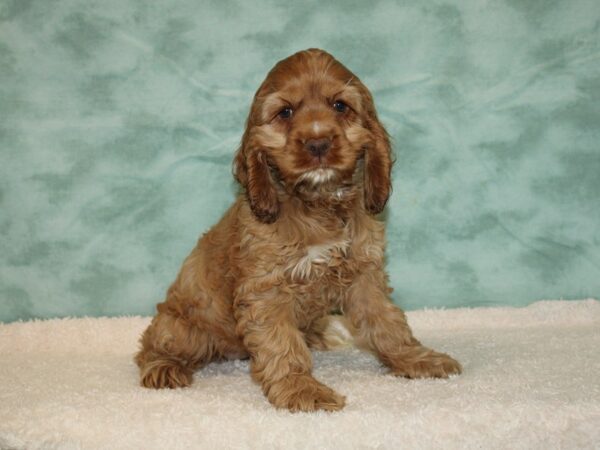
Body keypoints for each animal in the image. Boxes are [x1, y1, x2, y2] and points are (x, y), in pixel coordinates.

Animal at [137, 48, 464, 412]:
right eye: (286, 112)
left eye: (340, 106)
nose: (318, 143)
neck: (319, 202)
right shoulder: (266, 288)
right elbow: (282, 344)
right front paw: (301, 389)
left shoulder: (365, 274)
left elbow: (387, 322)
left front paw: (417, 359)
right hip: (184, 329)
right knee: (152, 346)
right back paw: (163, 368)